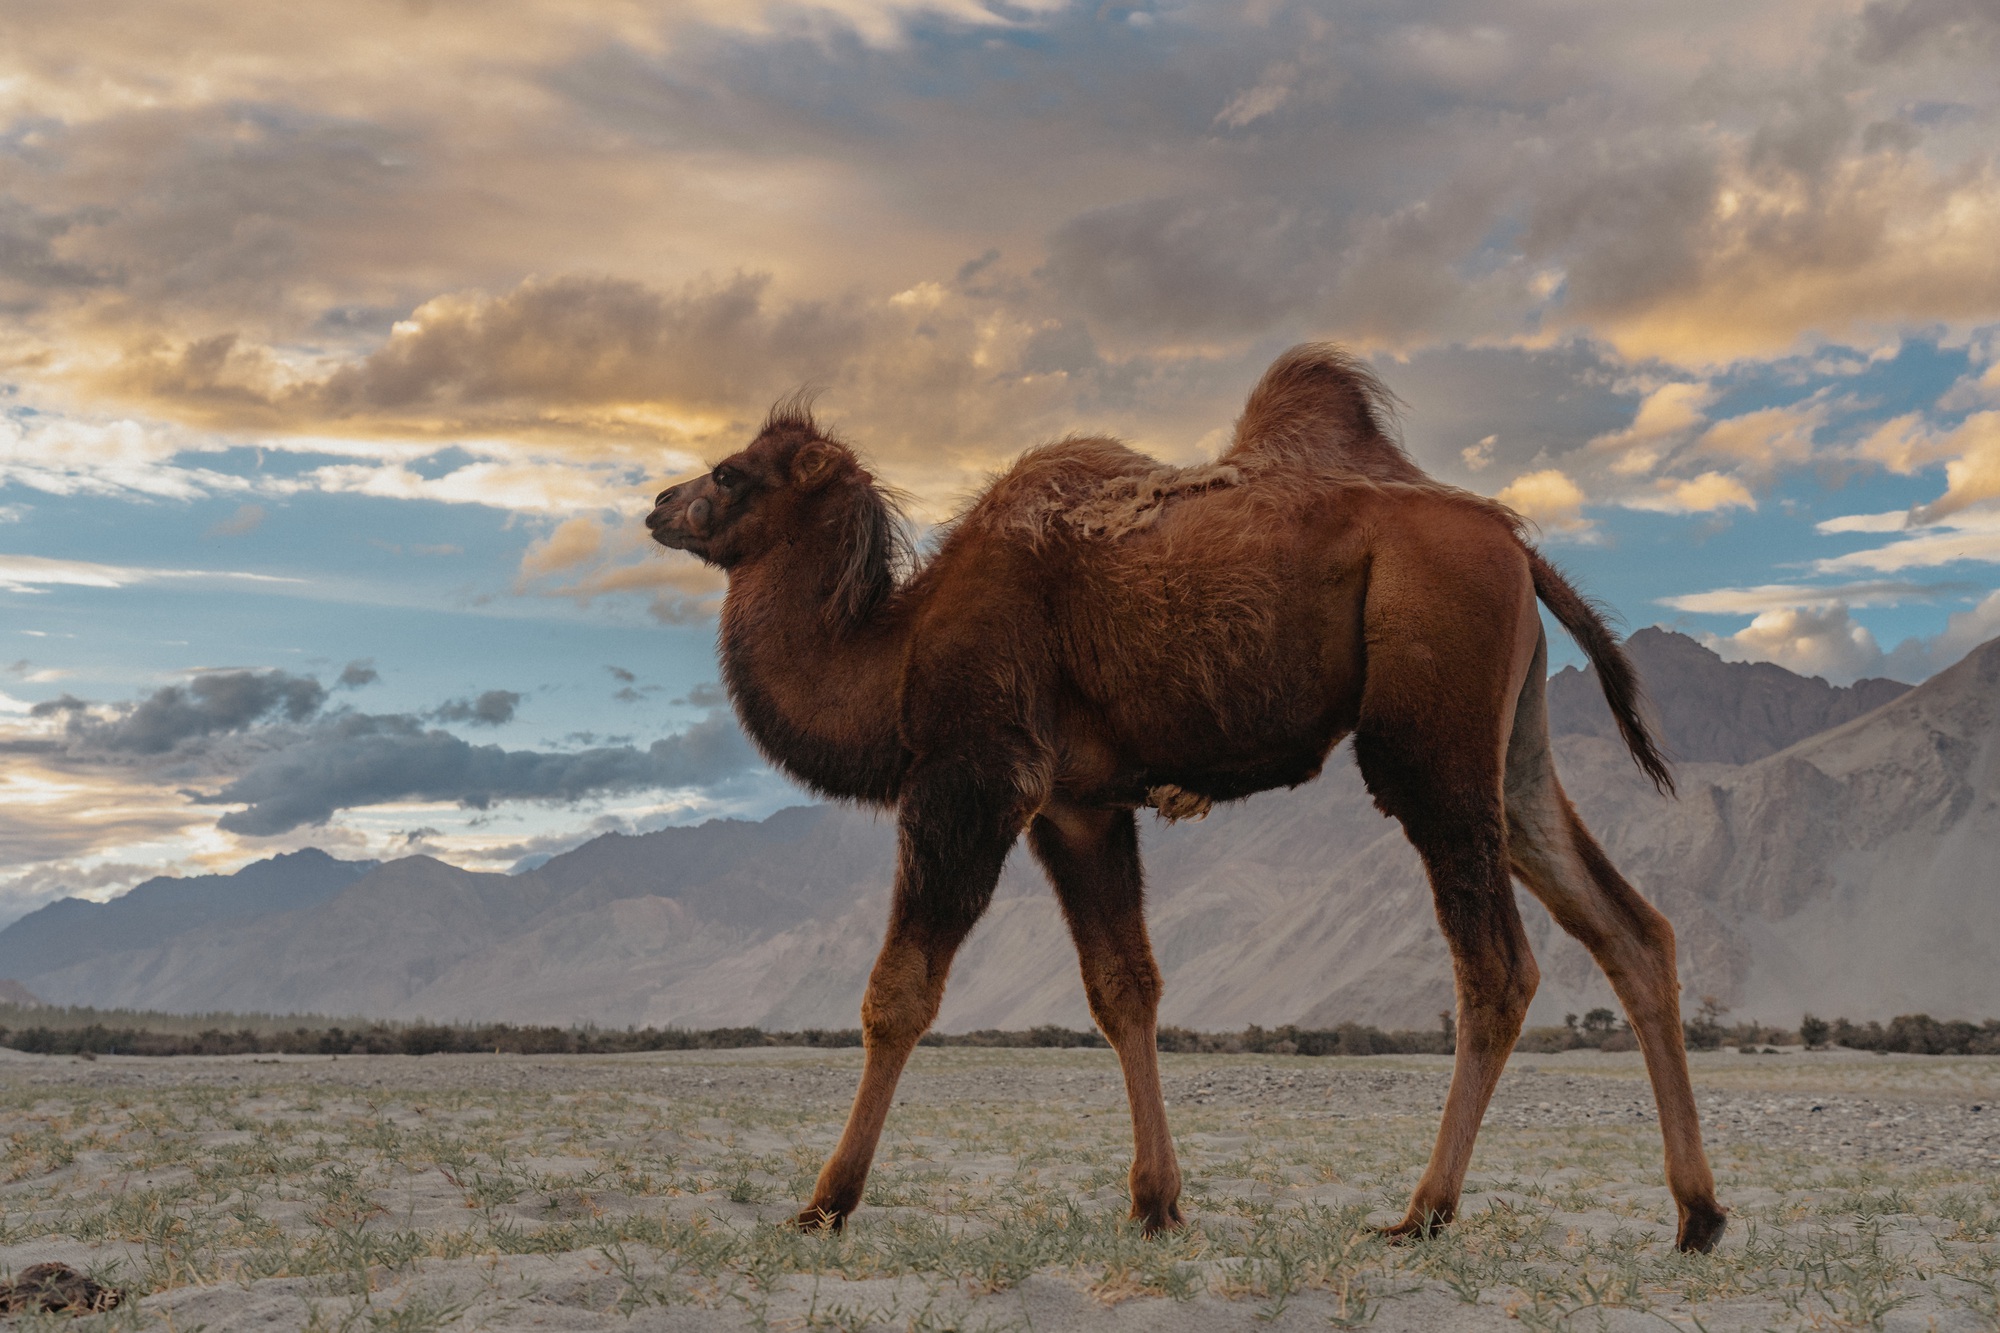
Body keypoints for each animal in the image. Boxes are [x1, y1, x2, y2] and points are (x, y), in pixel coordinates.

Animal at [648, 342, 1728, 1248]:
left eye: (732, 474)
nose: (658, 502)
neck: (898, 645)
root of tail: (1516, 545)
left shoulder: (976, 774)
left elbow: (899, 991)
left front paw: (825, 1200)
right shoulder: (1078, 803)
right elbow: (1122, 986)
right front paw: (1156, 1201)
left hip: (1431, 733)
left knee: (1497, 965)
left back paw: (1422, 1212)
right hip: (1513, 748)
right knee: (1630, 928)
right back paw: (1696, 1215)